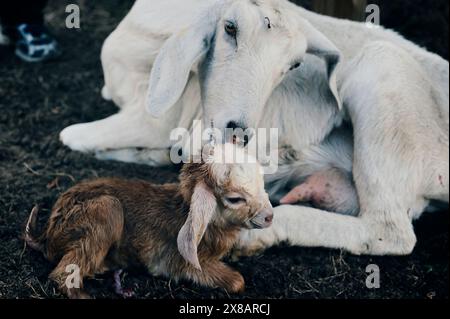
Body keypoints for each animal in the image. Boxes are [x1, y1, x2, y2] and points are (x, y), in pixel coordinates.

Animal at [60, 0, 450, 256]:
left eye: (294, 65)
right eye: (229, 28)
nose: (239, 132)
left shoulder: (161, 119)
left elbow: (72, 136)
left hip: (383, 71)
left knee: (389, 231)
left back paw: (254, 237)